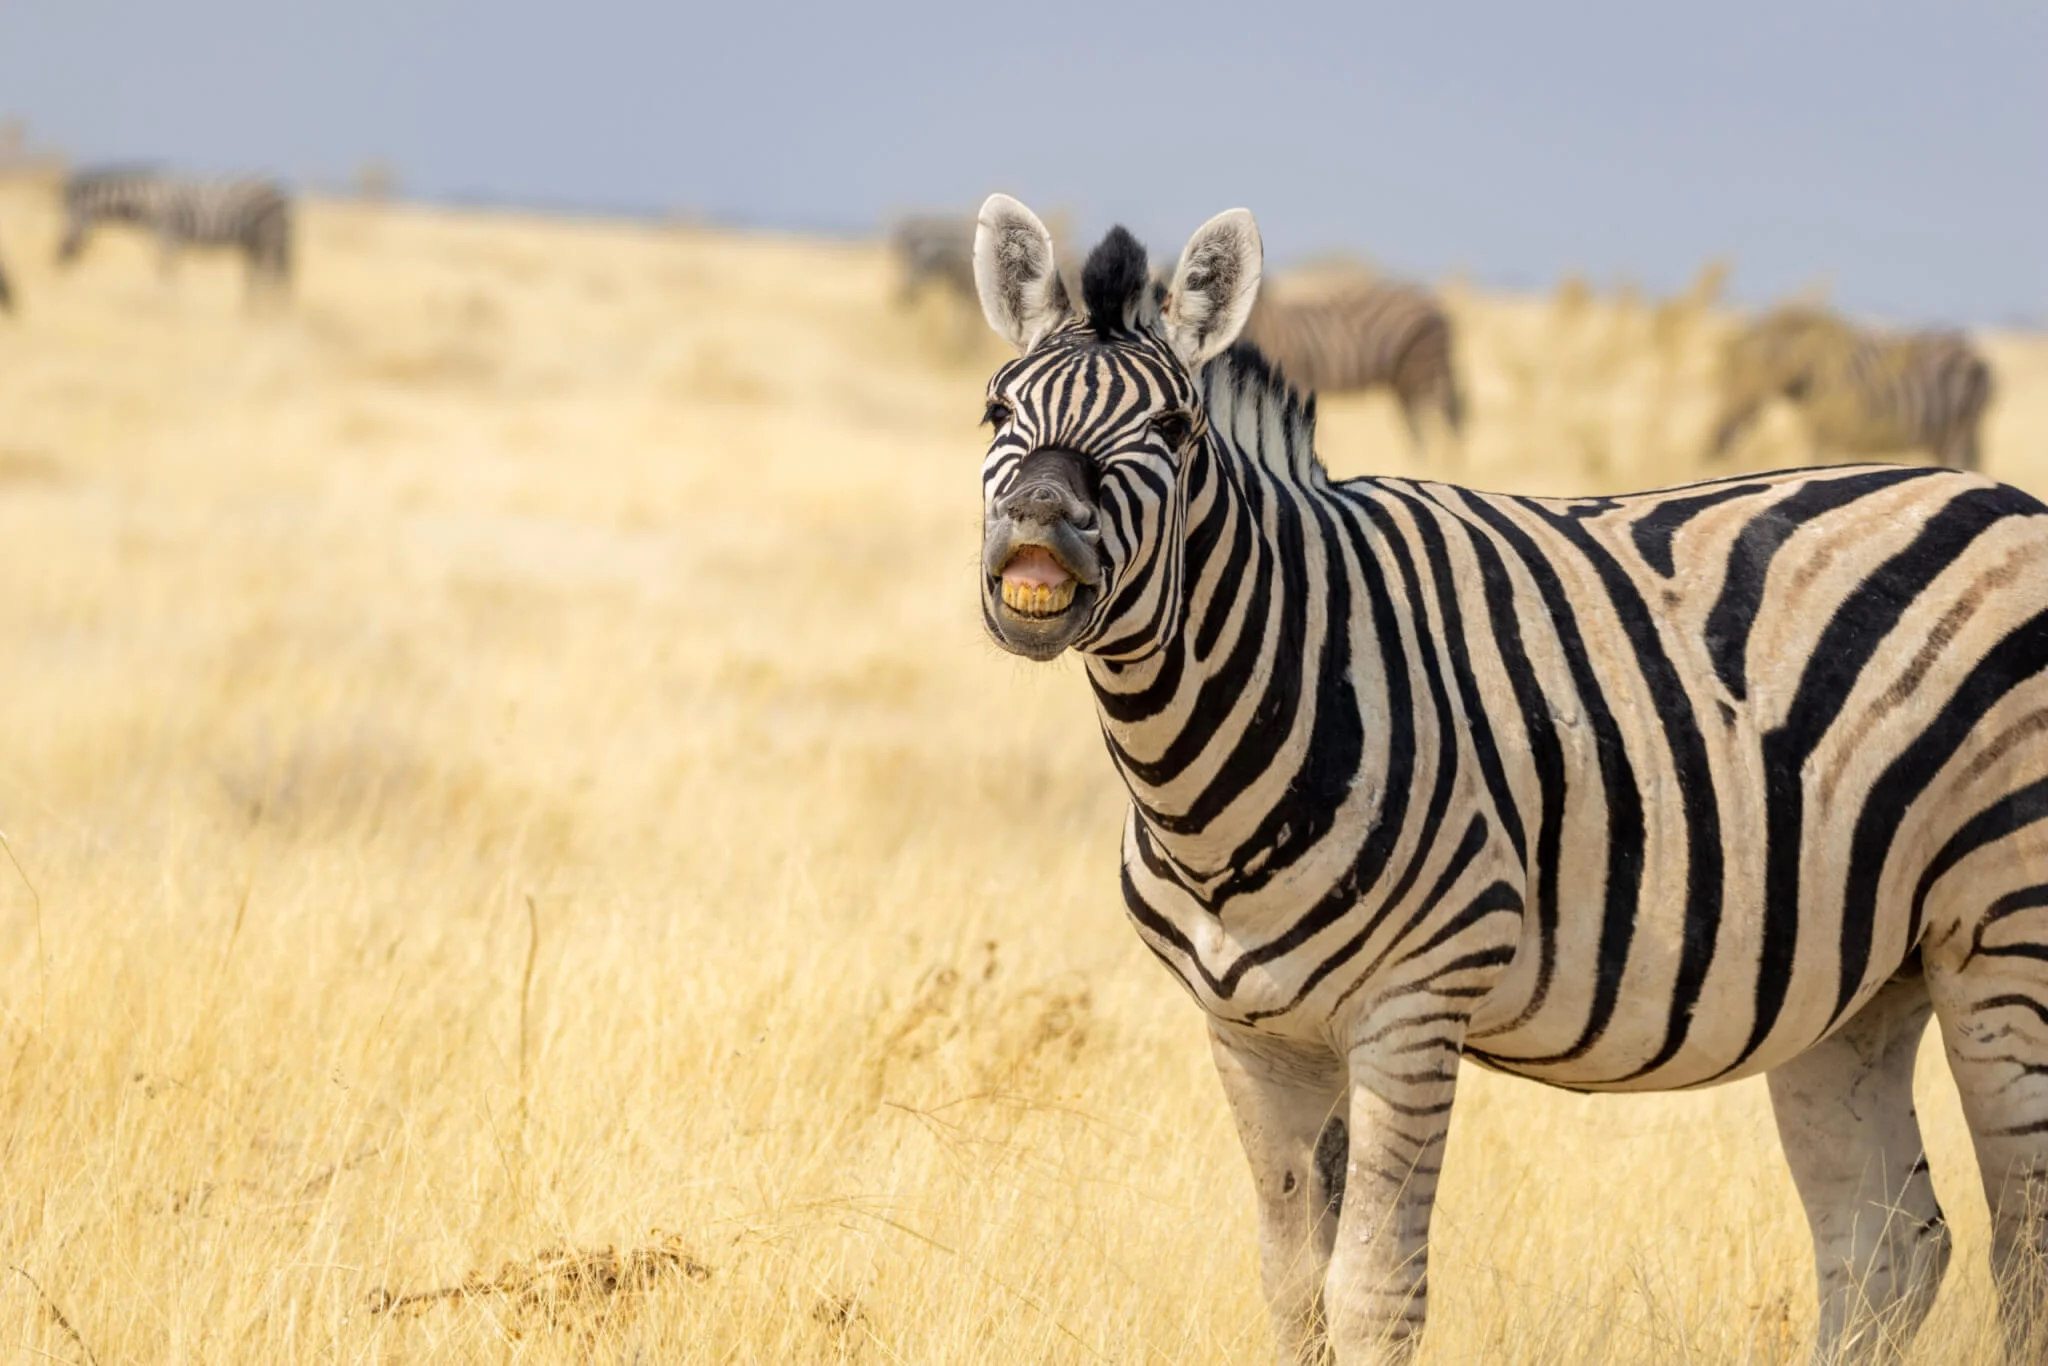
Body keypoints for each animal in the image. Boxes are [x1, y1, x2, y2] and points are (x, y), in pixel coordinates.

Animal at [56, 165, 293, 299]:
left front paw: (167, 300)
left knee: (274, 273)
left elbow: (167, 270)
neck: (147, 201)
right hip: (254, 242)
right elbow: (167, 269)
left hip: (269, 236)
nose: (57, 259)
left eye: (68, 221)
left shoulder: (167, 234)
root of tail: (279, 191)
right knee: (259, 274)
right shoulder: (166, 238)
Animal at [1710, 304, 1994, 471]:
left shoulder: (1832, 430)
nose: (1719, 440)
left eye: (1747, 375)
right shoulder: (1827, 431)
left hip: (1957, 432)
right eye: (1723, 377)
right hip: (1947, 436)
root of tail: (1975, 354)